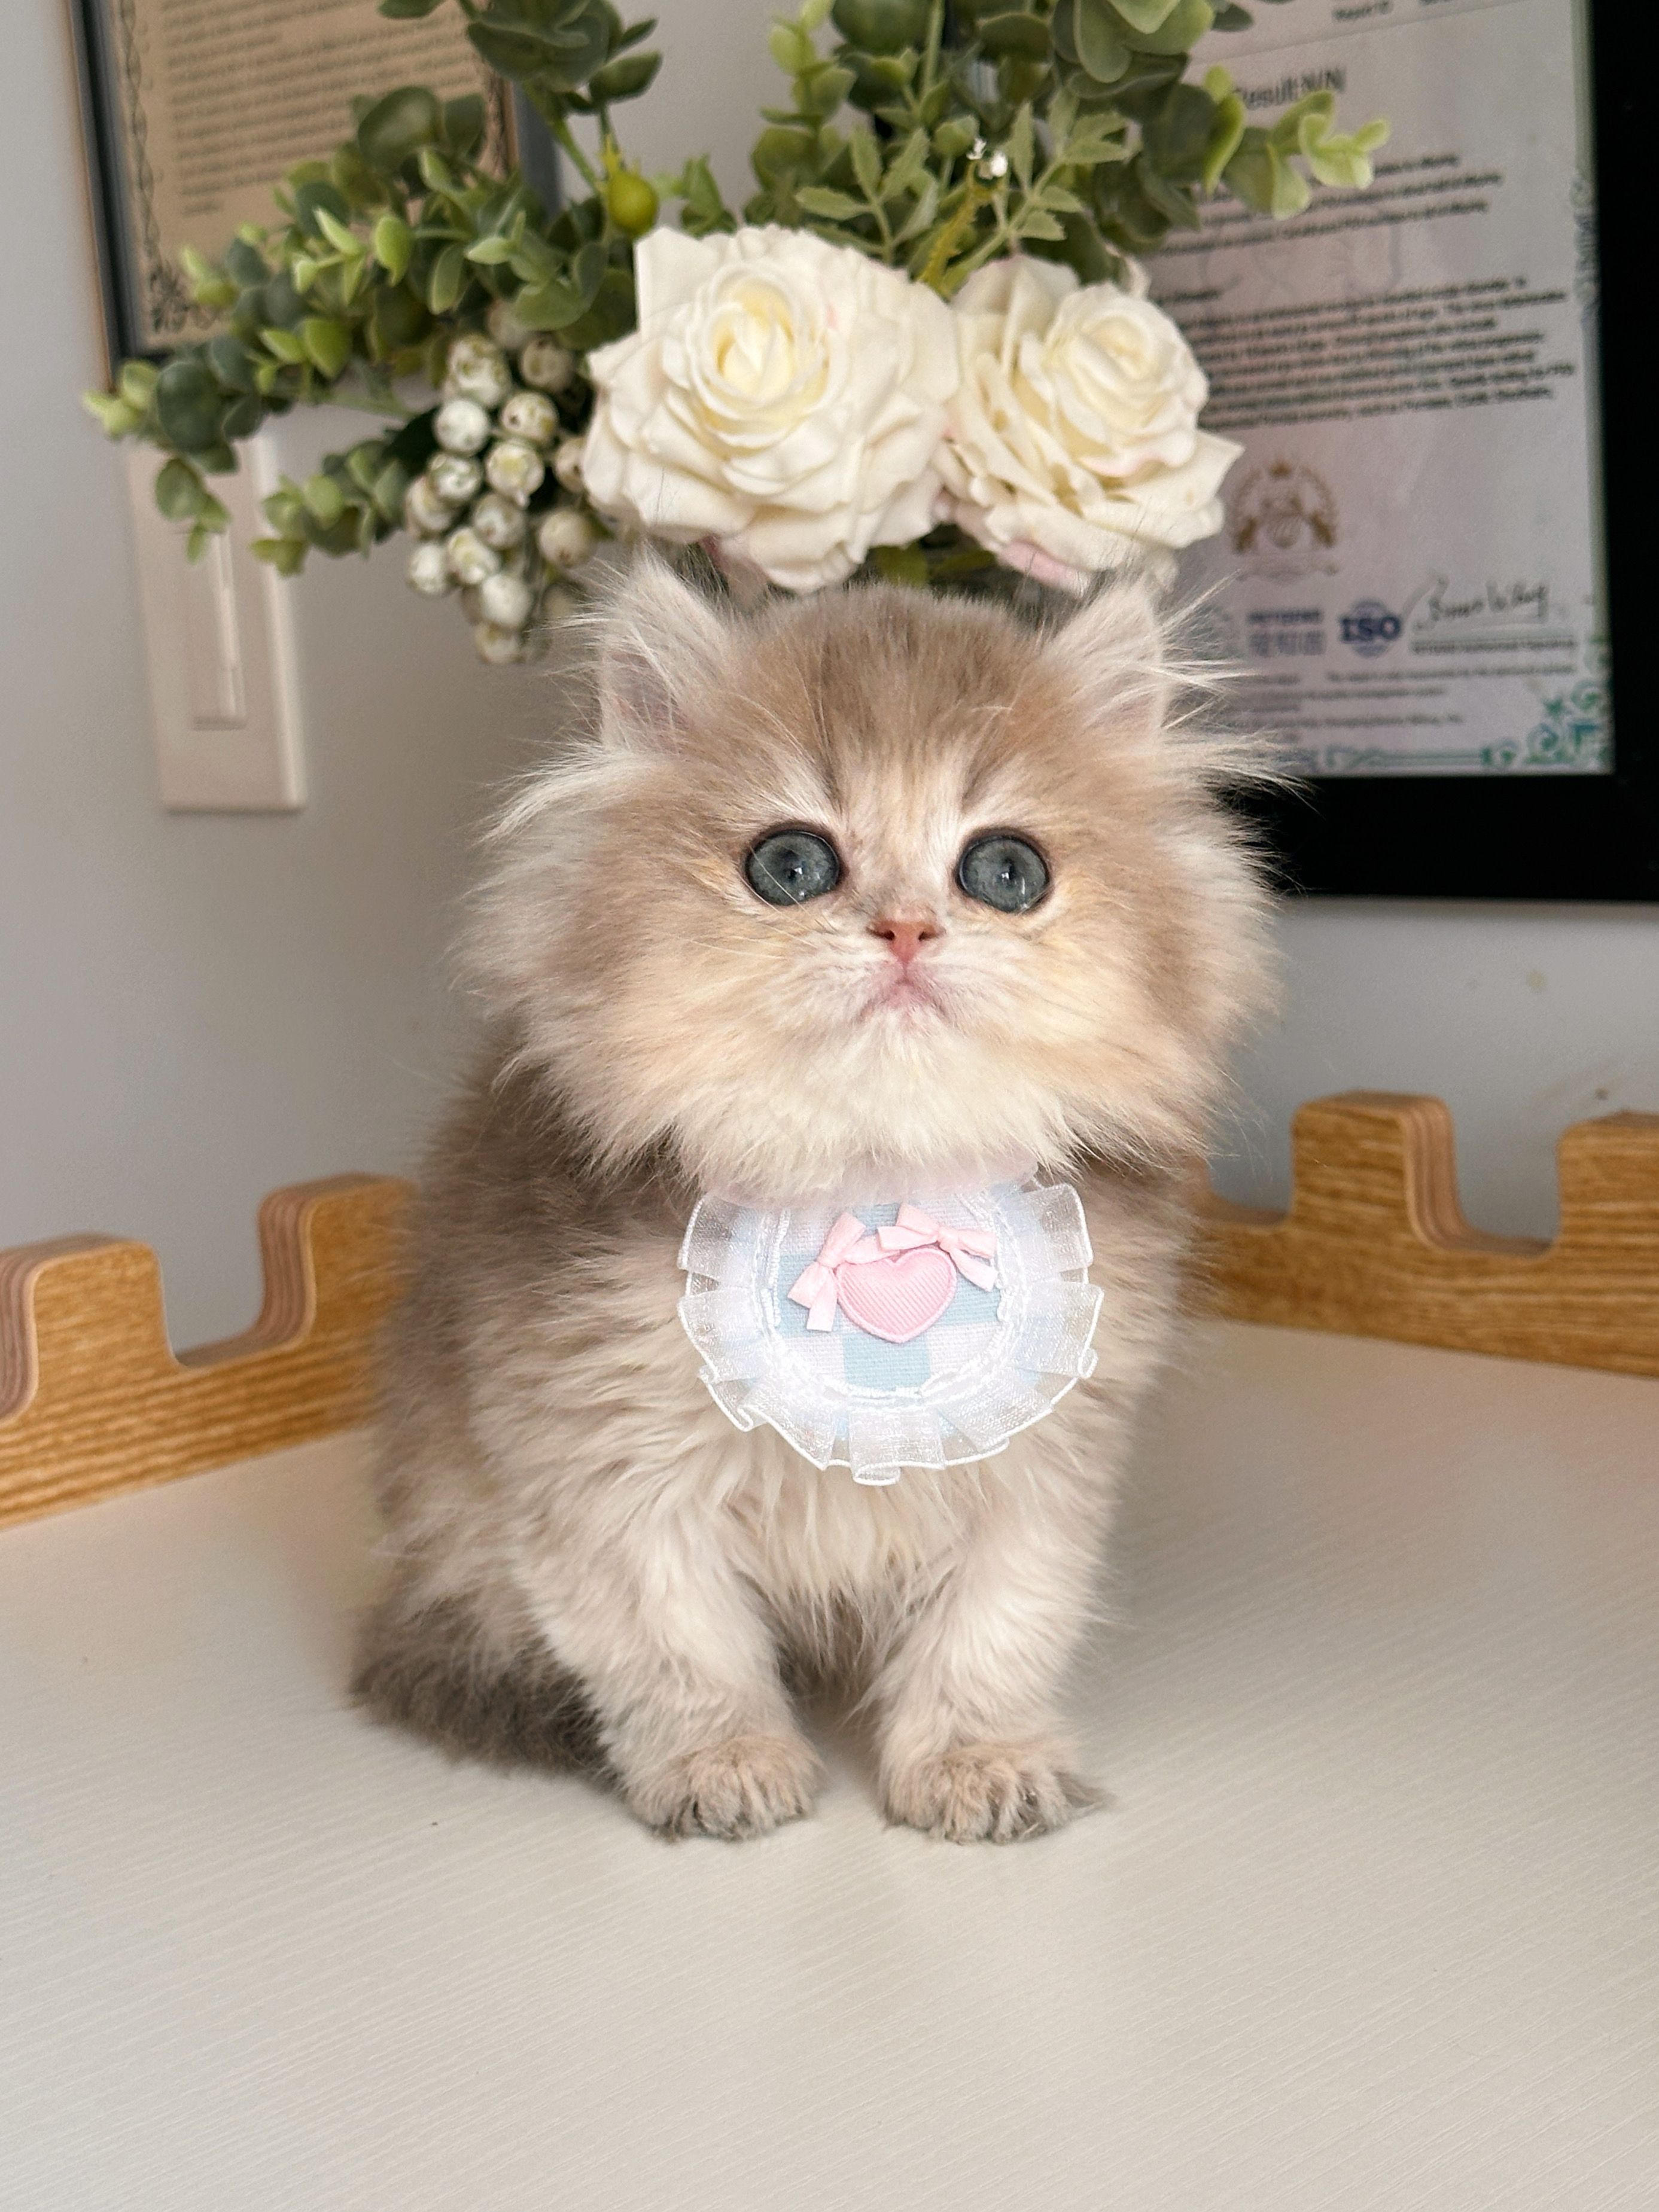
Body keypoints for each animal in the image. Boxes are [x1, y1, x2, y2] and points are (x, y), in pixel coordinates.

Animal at [352, 557, 1271, 1842]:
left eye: (1005, 871)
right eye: (791, 866)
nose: (906, 928)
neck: (869, 1180)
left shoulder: (1034, 1476)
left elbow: (991, 1634)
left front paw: (974, 1763)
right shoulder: (602, 1470)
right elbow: (677, 1645)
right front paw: (724, 1764)